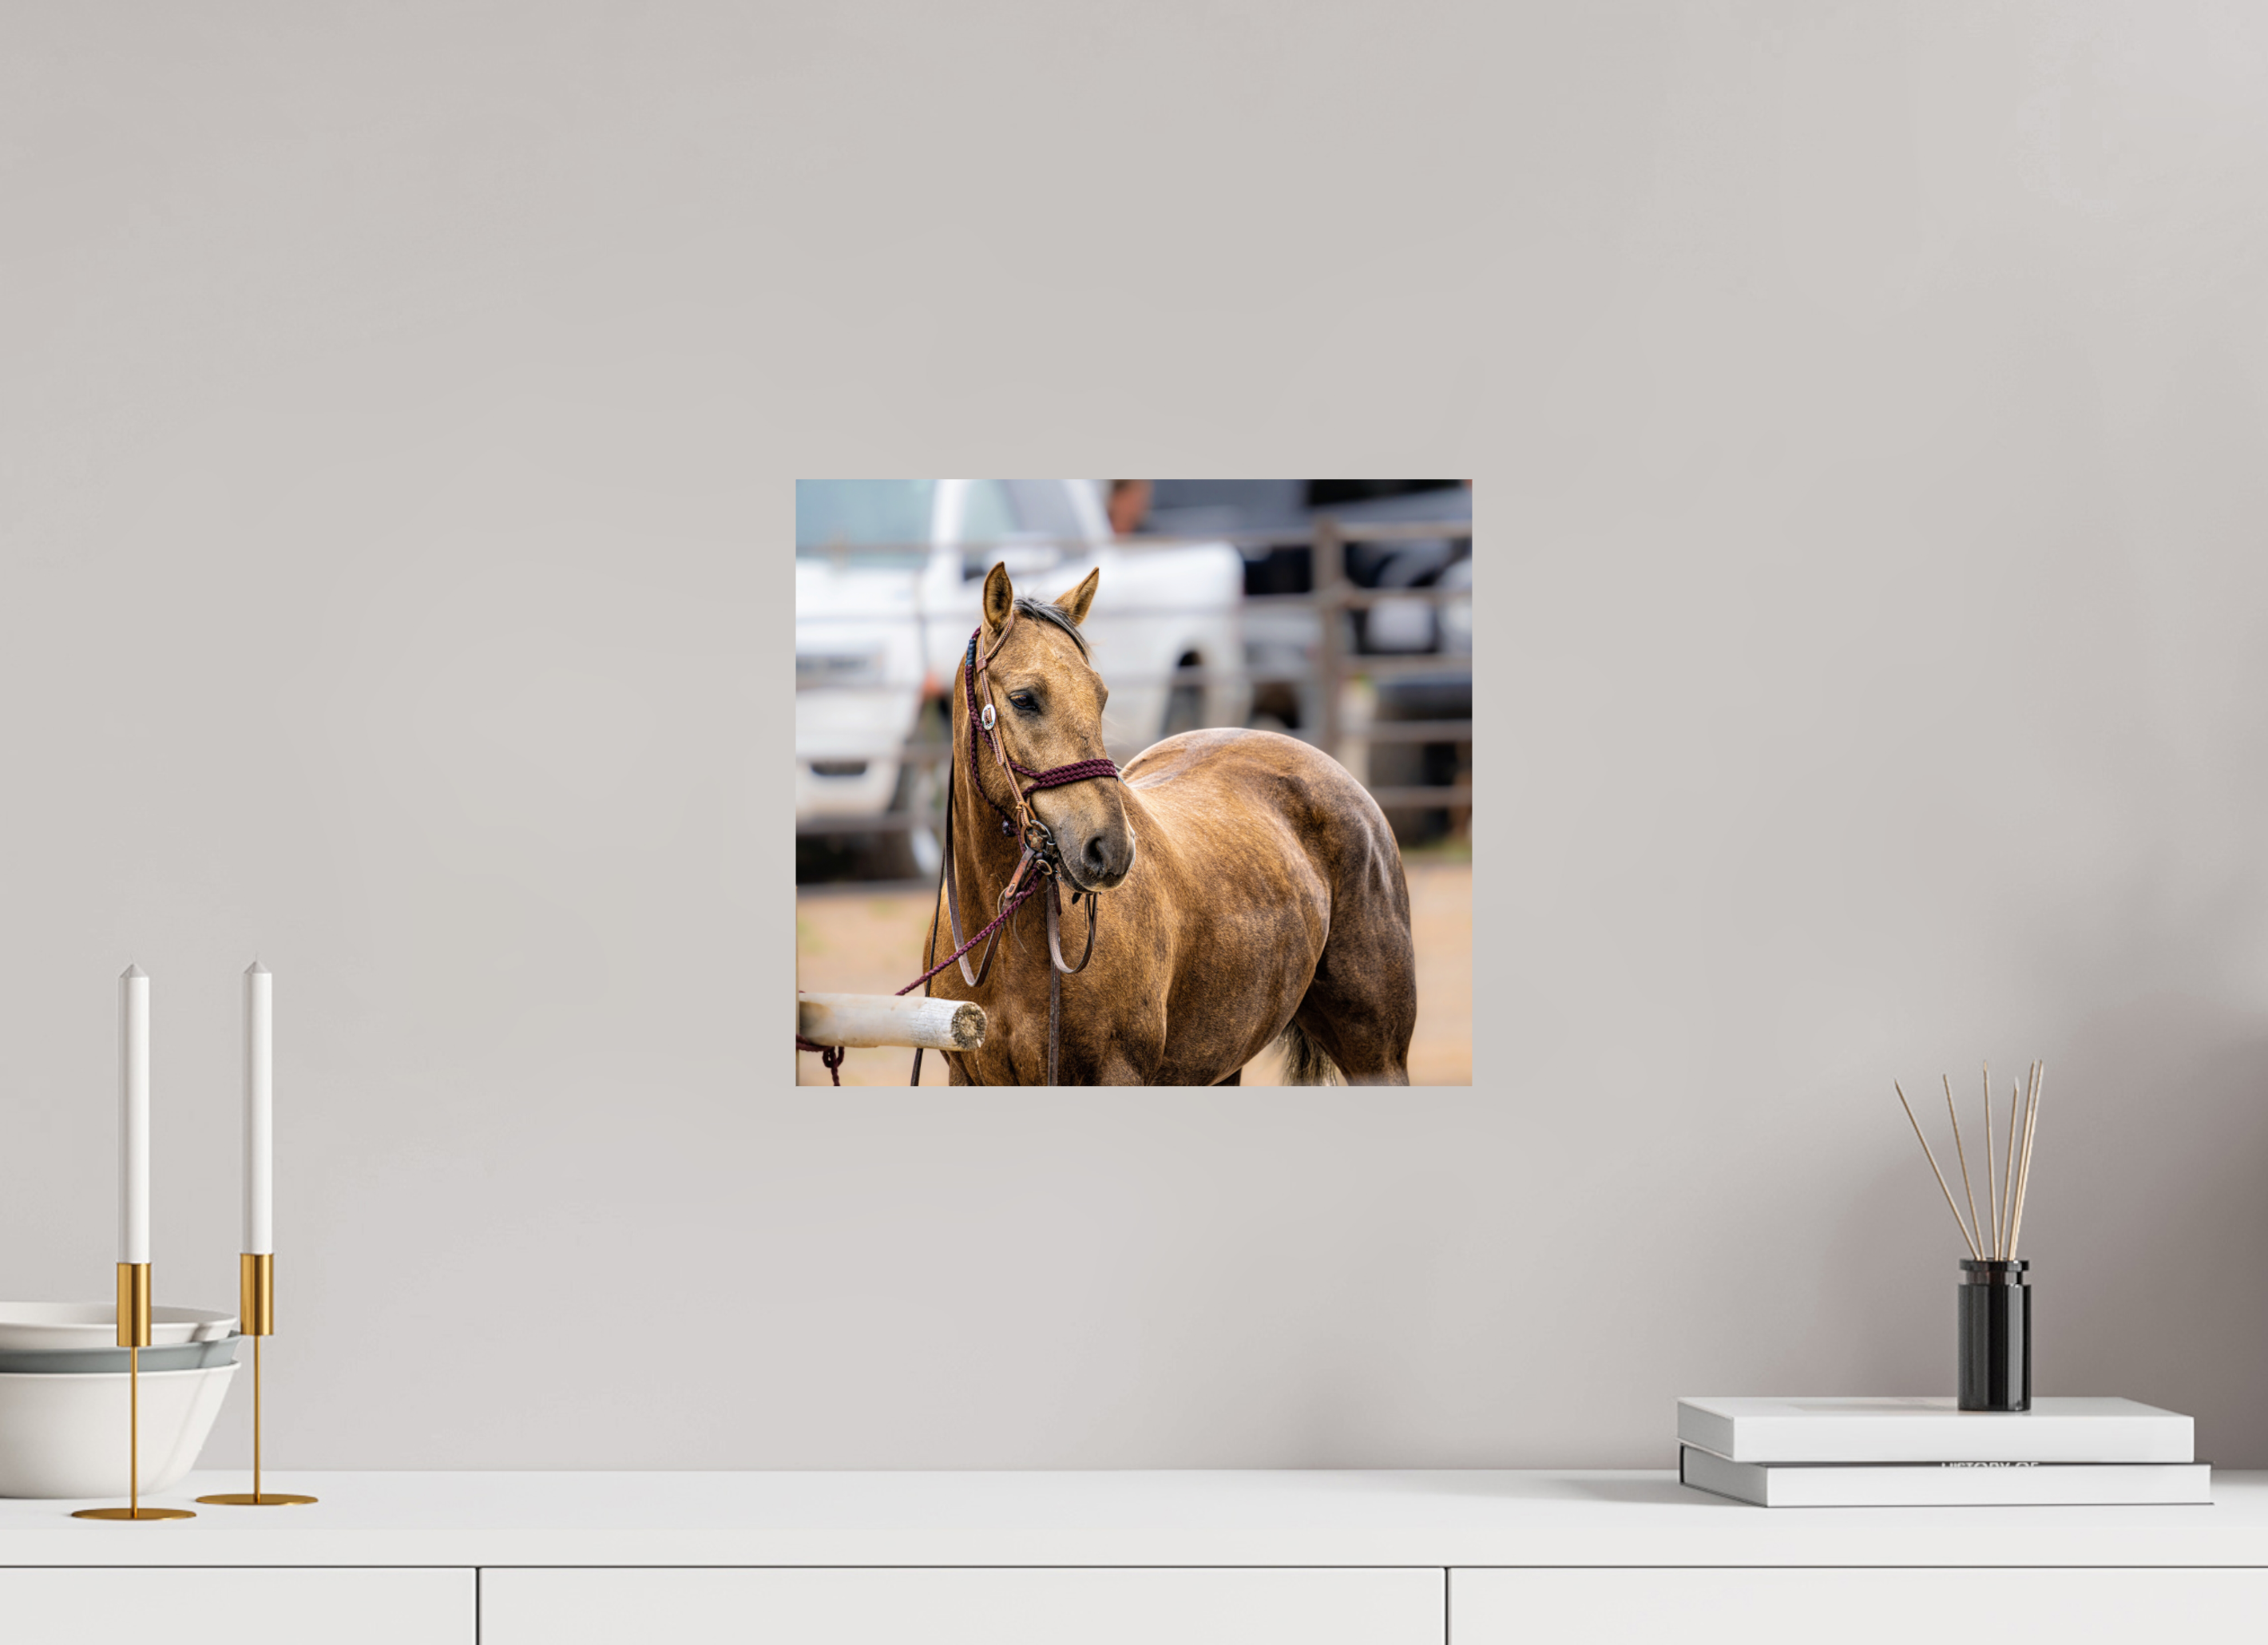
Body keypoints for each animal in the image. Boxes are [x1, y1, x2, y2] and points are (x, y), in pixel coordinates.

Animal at [919, 560, 1418, 1085]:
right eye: (1023, 698)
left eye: (1101, 697)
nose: (1110, 848)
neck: (1011, 946)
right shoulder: (966, 1073)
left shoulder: (1119, 1072)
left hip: (1377, 1059)